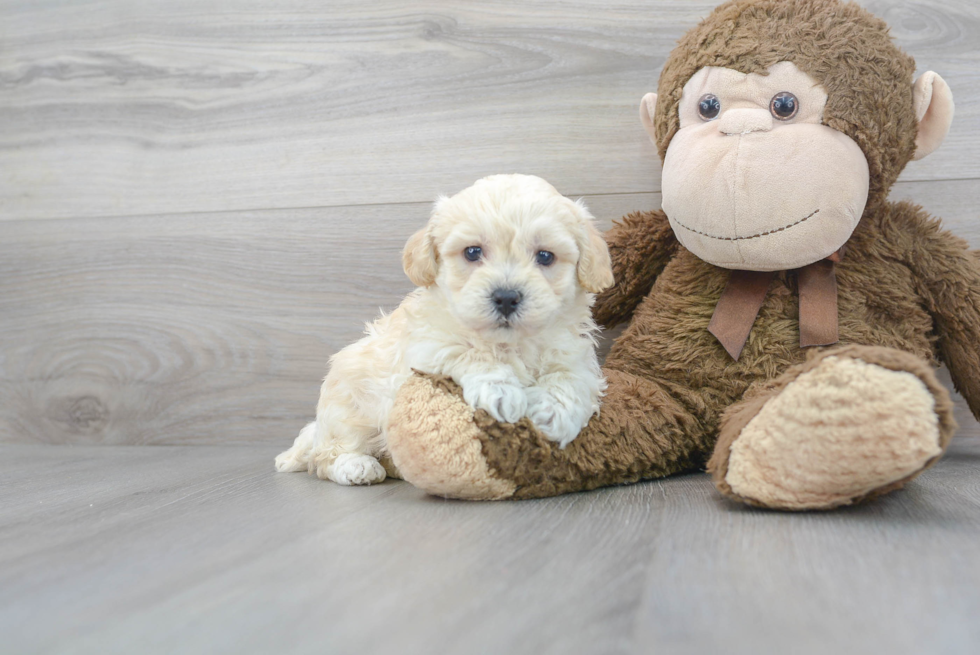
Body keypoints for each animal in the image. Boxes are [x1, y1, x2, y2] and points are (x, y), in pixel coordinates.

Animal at [274, 174, 612, 486]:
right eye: (472, 252)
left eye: (545, 256)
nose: (506, 297)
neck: (508, 343)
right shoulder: (428, 346)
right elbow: (469, 353)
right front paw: (500, 391)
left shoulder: (575, 355)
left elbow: (570, 378)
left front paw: (552, 412)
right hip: (347, 405)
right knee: (326, 455)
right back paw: (356, 465)